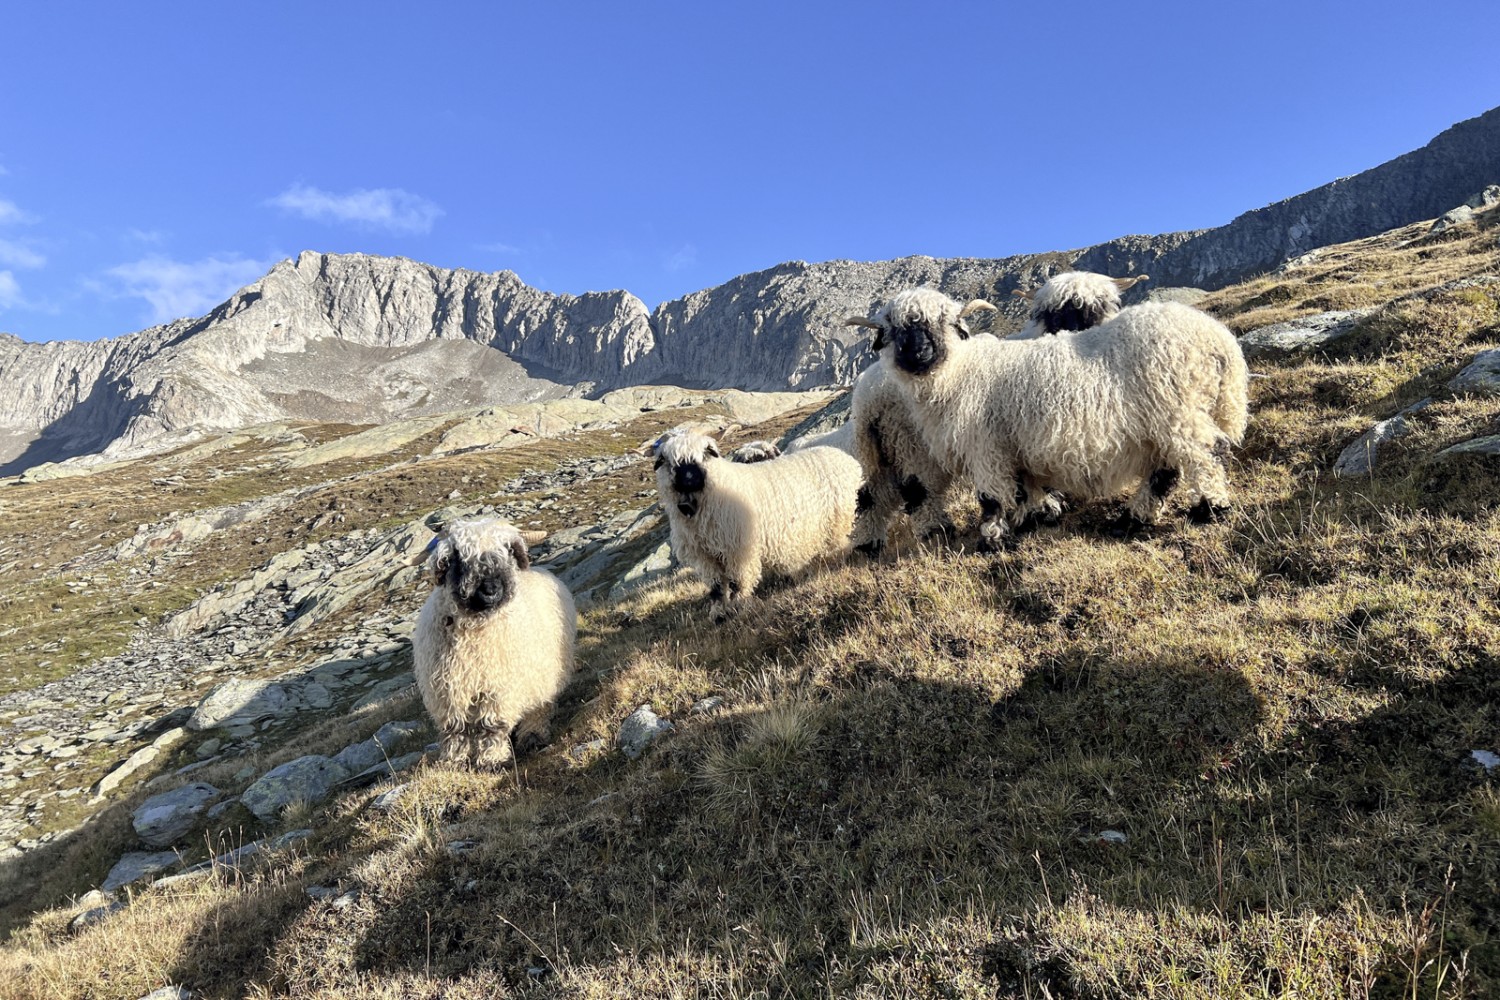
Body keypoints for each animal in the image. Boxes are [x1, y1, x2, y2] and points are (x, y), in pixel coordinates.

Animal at [414, 515, 576, 767]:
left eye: (507, 550)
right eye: (458, 557)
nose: (491, 589)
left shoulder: (498, 687)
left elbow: (490, 726)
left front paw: (492, 760)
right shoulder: (448, 691)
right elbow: (455, 730)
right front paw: (454, 761)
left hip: (544, 672)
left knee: (540, 707)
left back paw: (532, 737)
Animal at [651, 425, 864, 605]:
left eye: (704, 454)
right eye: (669, 462)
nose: (689, 480)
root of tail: (847, 460)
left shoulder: (739, 548)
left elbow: (738, 581)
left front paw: (739, 605)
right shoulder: (705, 556)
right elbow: (717, 587)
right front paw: (719, 613)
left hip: (839, 523)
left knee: (841, 547)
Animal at [852, 284, 1248, 551]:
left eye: (944, 322)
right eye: (895, 330)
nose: (919, 352)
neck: (960, 373)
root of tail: (1218, 339)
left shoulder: (986, 446)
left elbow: (991, 497)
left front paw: (992, 540)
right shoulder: (1015, 448)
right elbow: (1024, 490)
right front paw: (1032, 521)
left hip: (1177, 410)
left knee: (1205, 455)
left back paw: (1209, 509)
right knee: (1166, 471)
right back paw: (1132, 520)